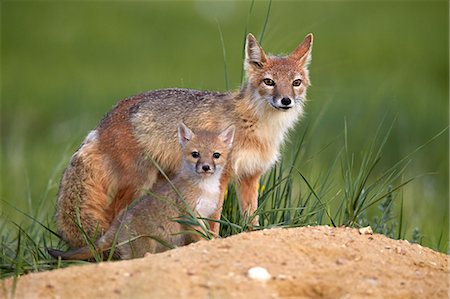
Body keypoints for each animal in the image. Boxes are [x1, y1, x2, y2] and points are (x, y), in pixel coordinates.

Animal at [56, 32, 312, 248]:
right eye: (269, 82)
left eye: (296, 83)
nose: (286, 100)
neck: (257, 126)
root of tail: (102, 122)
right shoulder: (222, 178)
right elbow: (215, 219)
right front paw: (212, 243)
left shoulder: (250, 177)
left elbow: (252, 221)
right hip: (139, 183)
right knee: (115, 214)